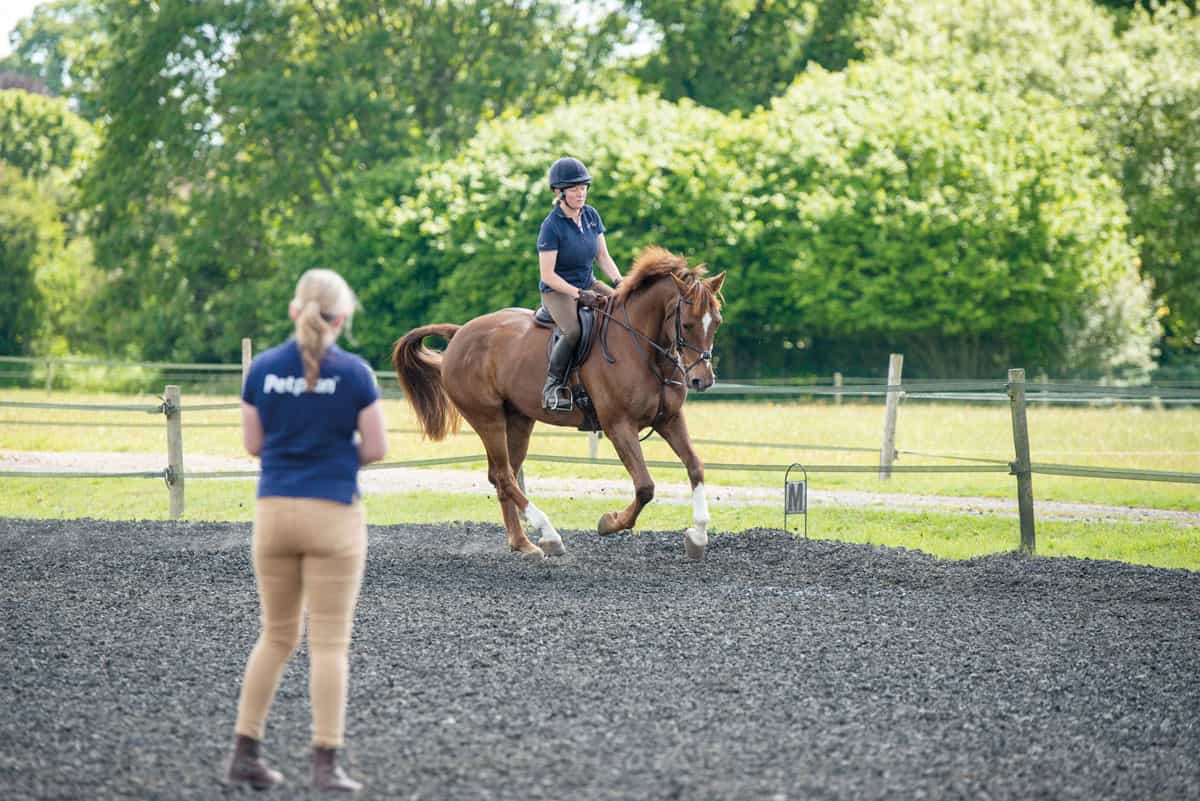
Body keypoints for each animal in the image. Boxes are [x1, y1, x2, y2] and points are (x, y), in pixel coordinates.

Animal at [393, 247, 724, 561]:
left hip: (518, 419)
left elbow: (695, 466)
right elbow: (645, 486)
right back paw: (549, 534)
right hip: (487, 418)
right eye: (687, 324)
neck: (643, 350)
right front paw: (609, 522)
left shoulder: (669, 419)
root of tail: (459, 333)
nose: (702, 380)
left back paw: (523, 544)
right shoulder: (619, 425)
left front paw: (698, 536)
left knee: (503, 476)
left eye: (717, 322)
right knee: (505, 476)